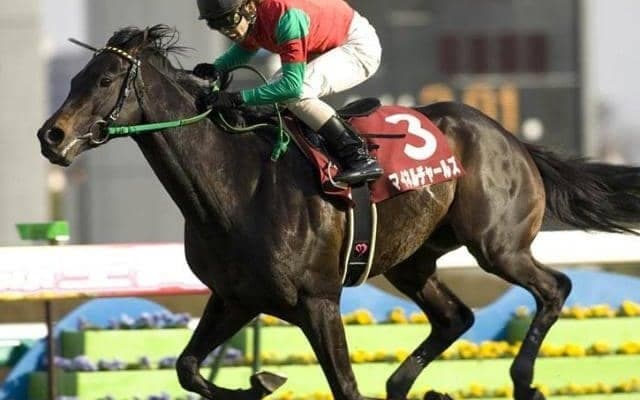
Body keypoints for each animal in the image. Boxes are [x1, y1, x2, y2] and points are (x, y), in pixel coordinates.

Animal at [37, 25, 640, 400]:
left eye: (106, 81)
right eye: (74, 79)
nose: (52, 136)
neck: (235, 189)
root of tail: (510, 137)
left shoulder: (318, 300)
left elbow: (344, 386)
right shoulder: (234, 298)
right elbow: (188, 369)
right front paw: (257, 383)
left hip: (498, 244)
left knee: (554, 287)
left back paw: (521, 377)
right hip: (413, 261)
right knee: (455, 317)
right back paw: (412, 386)